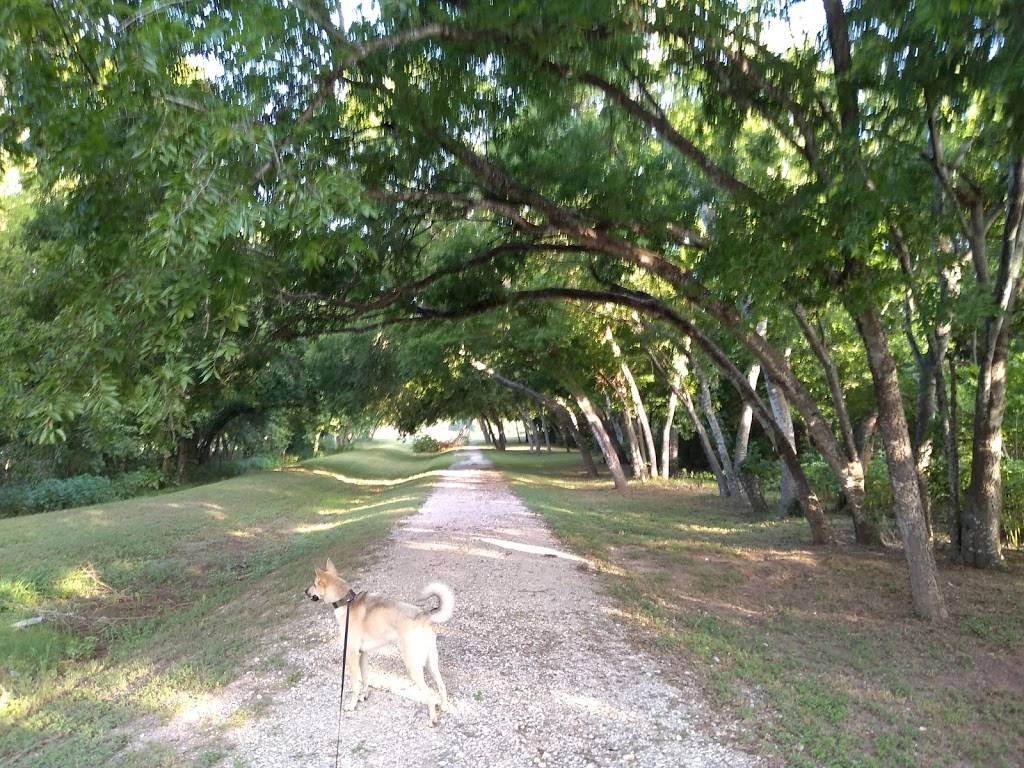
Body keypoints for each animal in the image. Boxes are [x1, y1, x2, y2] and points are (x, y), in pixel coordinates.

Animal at [303, 561, 456, 724]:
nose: (305, 591)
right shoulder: (363, 655)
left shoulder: (351, 654)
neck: (346, 602)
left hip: (413, 666)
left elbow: (355, 683)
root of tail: (424, 615)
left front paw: (352, 704)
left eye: (314, 583)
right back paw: (445, 707)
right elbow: (365, 678)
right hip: (431, 663)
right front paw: (364, 695)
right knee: (442, 685)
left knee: (429, 694)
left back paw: (432, 719)